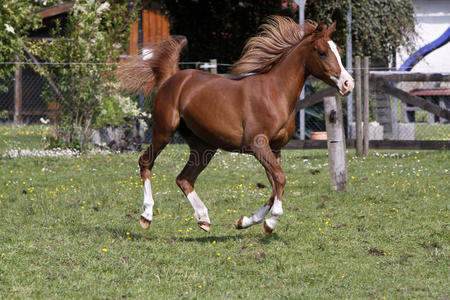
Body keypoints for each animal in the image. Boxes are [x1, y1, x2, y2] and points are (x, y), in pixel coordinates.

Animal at [117, 16, 356, 236]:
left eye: (339, 50)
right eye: (322, 52)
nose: (348, 84)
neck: (275, 93)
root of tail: (173, 78)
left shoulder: (275, 148)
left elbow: (274, 186)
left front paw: (245, 221)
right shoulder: (258, 144)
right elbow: (280, 179)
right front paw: (270, 223)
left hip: (204, 146)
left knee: (184, 178)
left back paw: (203, 219)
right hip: (164, 131)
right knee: (146, 162)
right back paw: (146, 215)